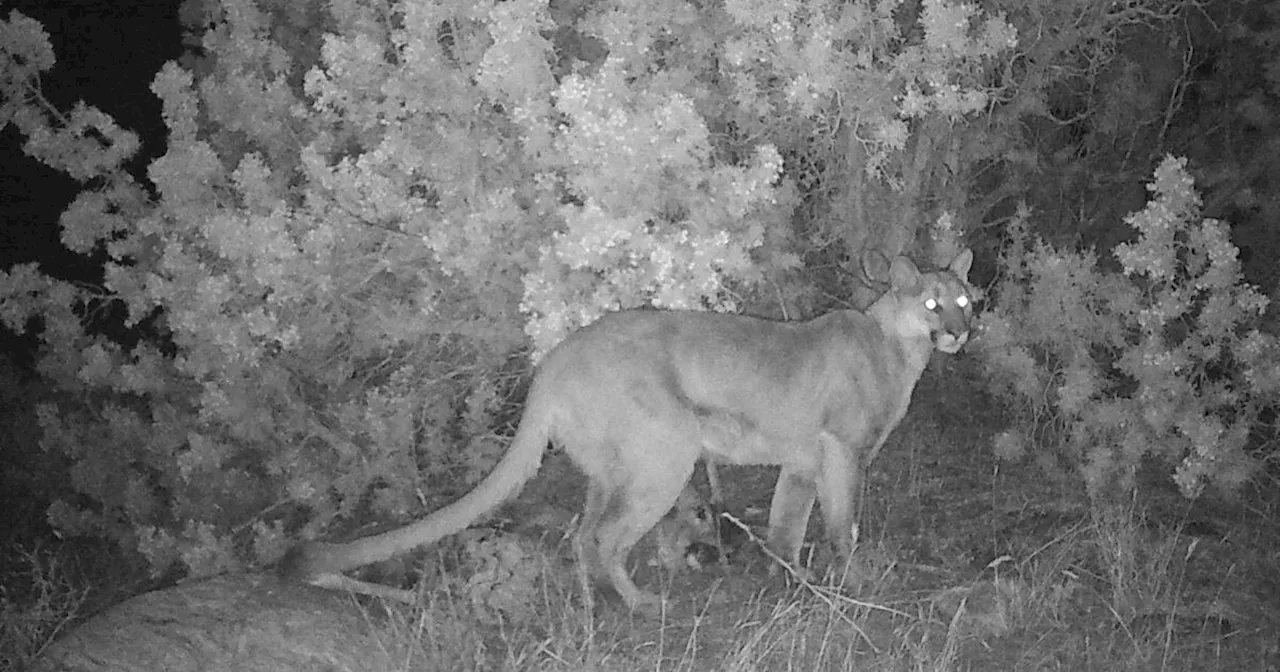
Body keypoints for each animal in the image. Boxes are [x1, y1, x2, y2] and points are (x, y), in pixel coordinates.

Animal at [285, 248, 972, 609]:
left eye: (964, 299)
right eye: (931, 304)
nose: (960, 332)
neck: (897, 347)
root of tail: (553, 360)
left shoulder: (803, 461)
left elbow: (786, 527)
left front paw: (792, 583)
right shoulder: (843, 452)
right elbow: (840, 526)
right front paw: (853, 582)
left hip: (614, 464)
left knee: (583, 533)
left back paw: (597, 603)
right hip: (666, 454)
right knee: (606, 535)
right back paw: (639, 603)